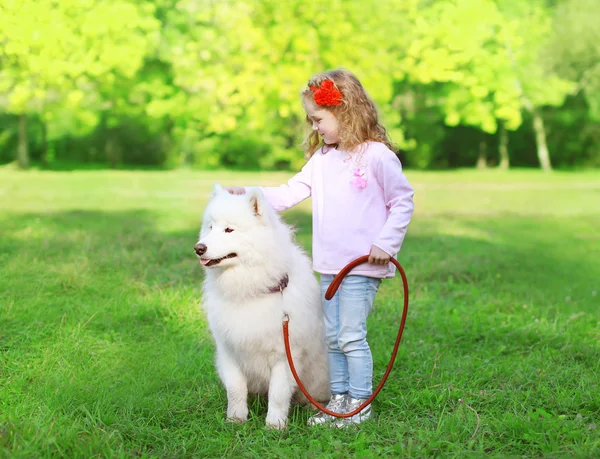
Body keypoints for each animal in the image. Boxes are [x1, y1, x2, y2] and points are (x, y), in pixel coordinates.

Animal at [196, 185, 328, 430]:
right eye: (210, 227)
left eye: (229, 229)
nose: (199, 248)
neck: (250, 290)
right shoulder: (229, 351)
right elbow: (235, 390)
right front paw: (235, 420)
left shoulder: (284, 356)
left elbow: (278, 394)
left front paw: (274, 426)